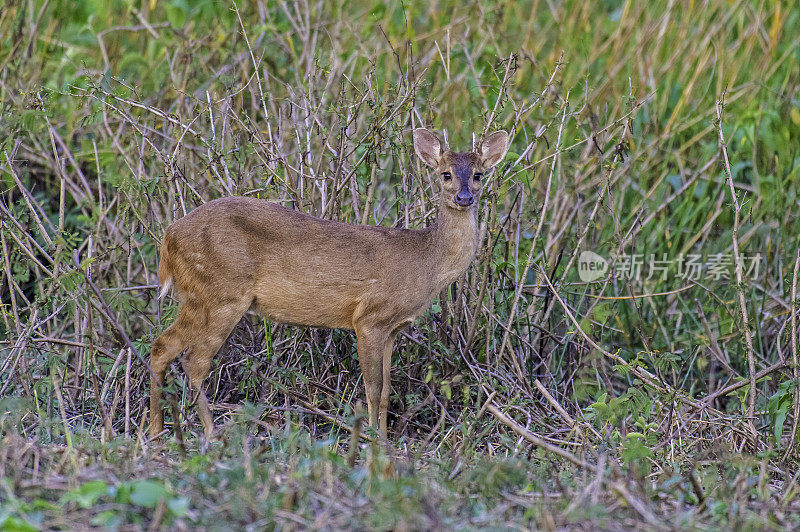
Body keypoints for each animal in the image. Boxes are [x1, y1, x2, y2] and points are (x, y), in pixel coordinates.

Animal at [149, 127, 510, 438]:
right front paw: (374, 440)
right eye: (445, 174)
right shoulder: (369, 318)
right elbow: (373, 388)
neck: (425, 262)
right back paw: (209, 434)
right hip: (221, 293)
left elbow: (387, 390)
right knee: (194, 362)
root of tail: (169, 237)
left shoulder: (393, 328)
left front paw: (385, 439)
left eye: (478, 174)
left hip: (199, 297)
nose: (464, 197)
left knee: (161, 347)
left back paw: (154, 432)